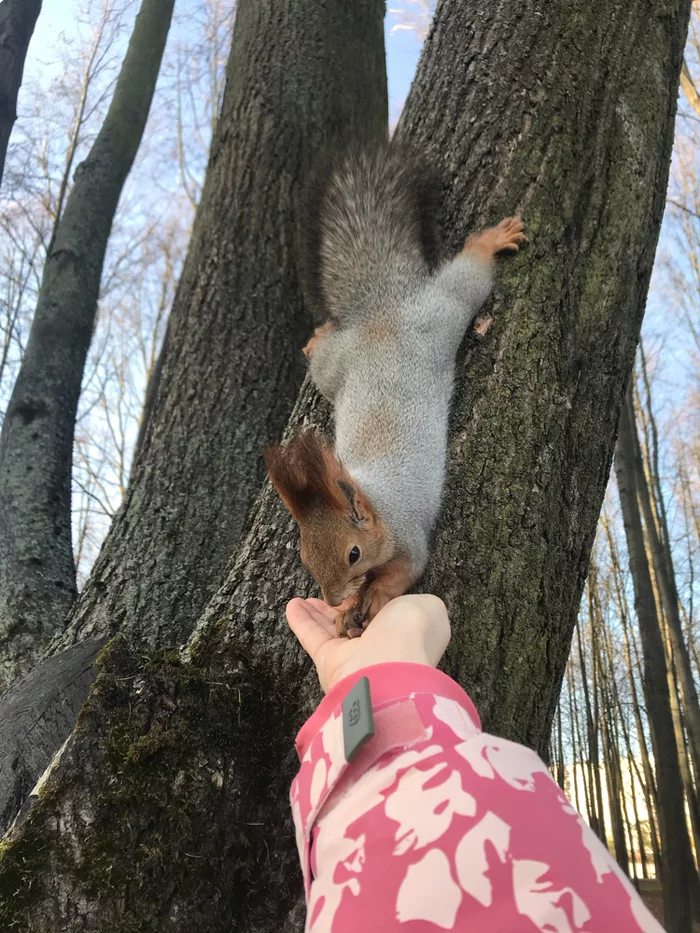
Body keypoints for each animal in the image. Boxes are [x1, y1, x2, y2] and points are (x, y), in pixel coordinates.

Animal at [264, 142, 524, 636]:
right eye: (306, 558)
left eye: (353, 553)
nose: (331, 599)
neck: (378, 502)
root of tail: (379, 311)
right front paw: (347, 610)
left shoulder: (410, 536)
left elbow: (406, 572)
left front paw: (377, 596)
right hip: (335, 369)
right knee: (325, 355)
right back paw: (317, 336)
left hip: (444, 311)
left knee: (467, 279)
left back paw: (489, 242)